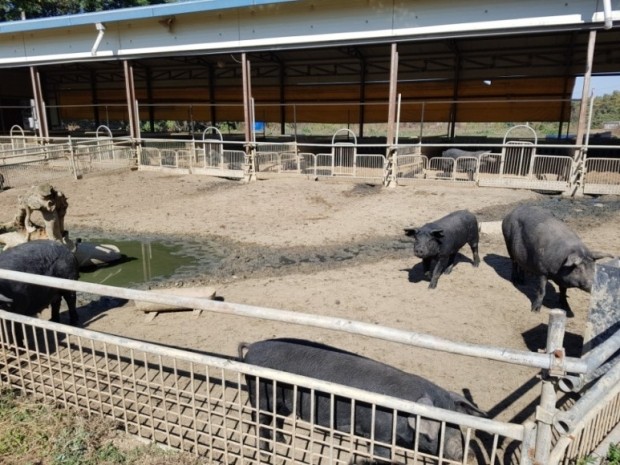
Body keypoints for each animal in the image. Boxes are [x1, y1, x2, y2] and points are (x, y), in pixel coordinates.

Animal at [237, 338, 484, 460]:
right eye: (438, 426)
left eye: (456, 424)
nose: (469, 455)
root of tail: (254, 346)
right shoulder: (379, 434)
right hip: (260, 393)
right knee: (259, 420)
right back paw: (267, 452)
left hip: (281, 399)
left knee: (276, 419)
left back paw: (282, 442)